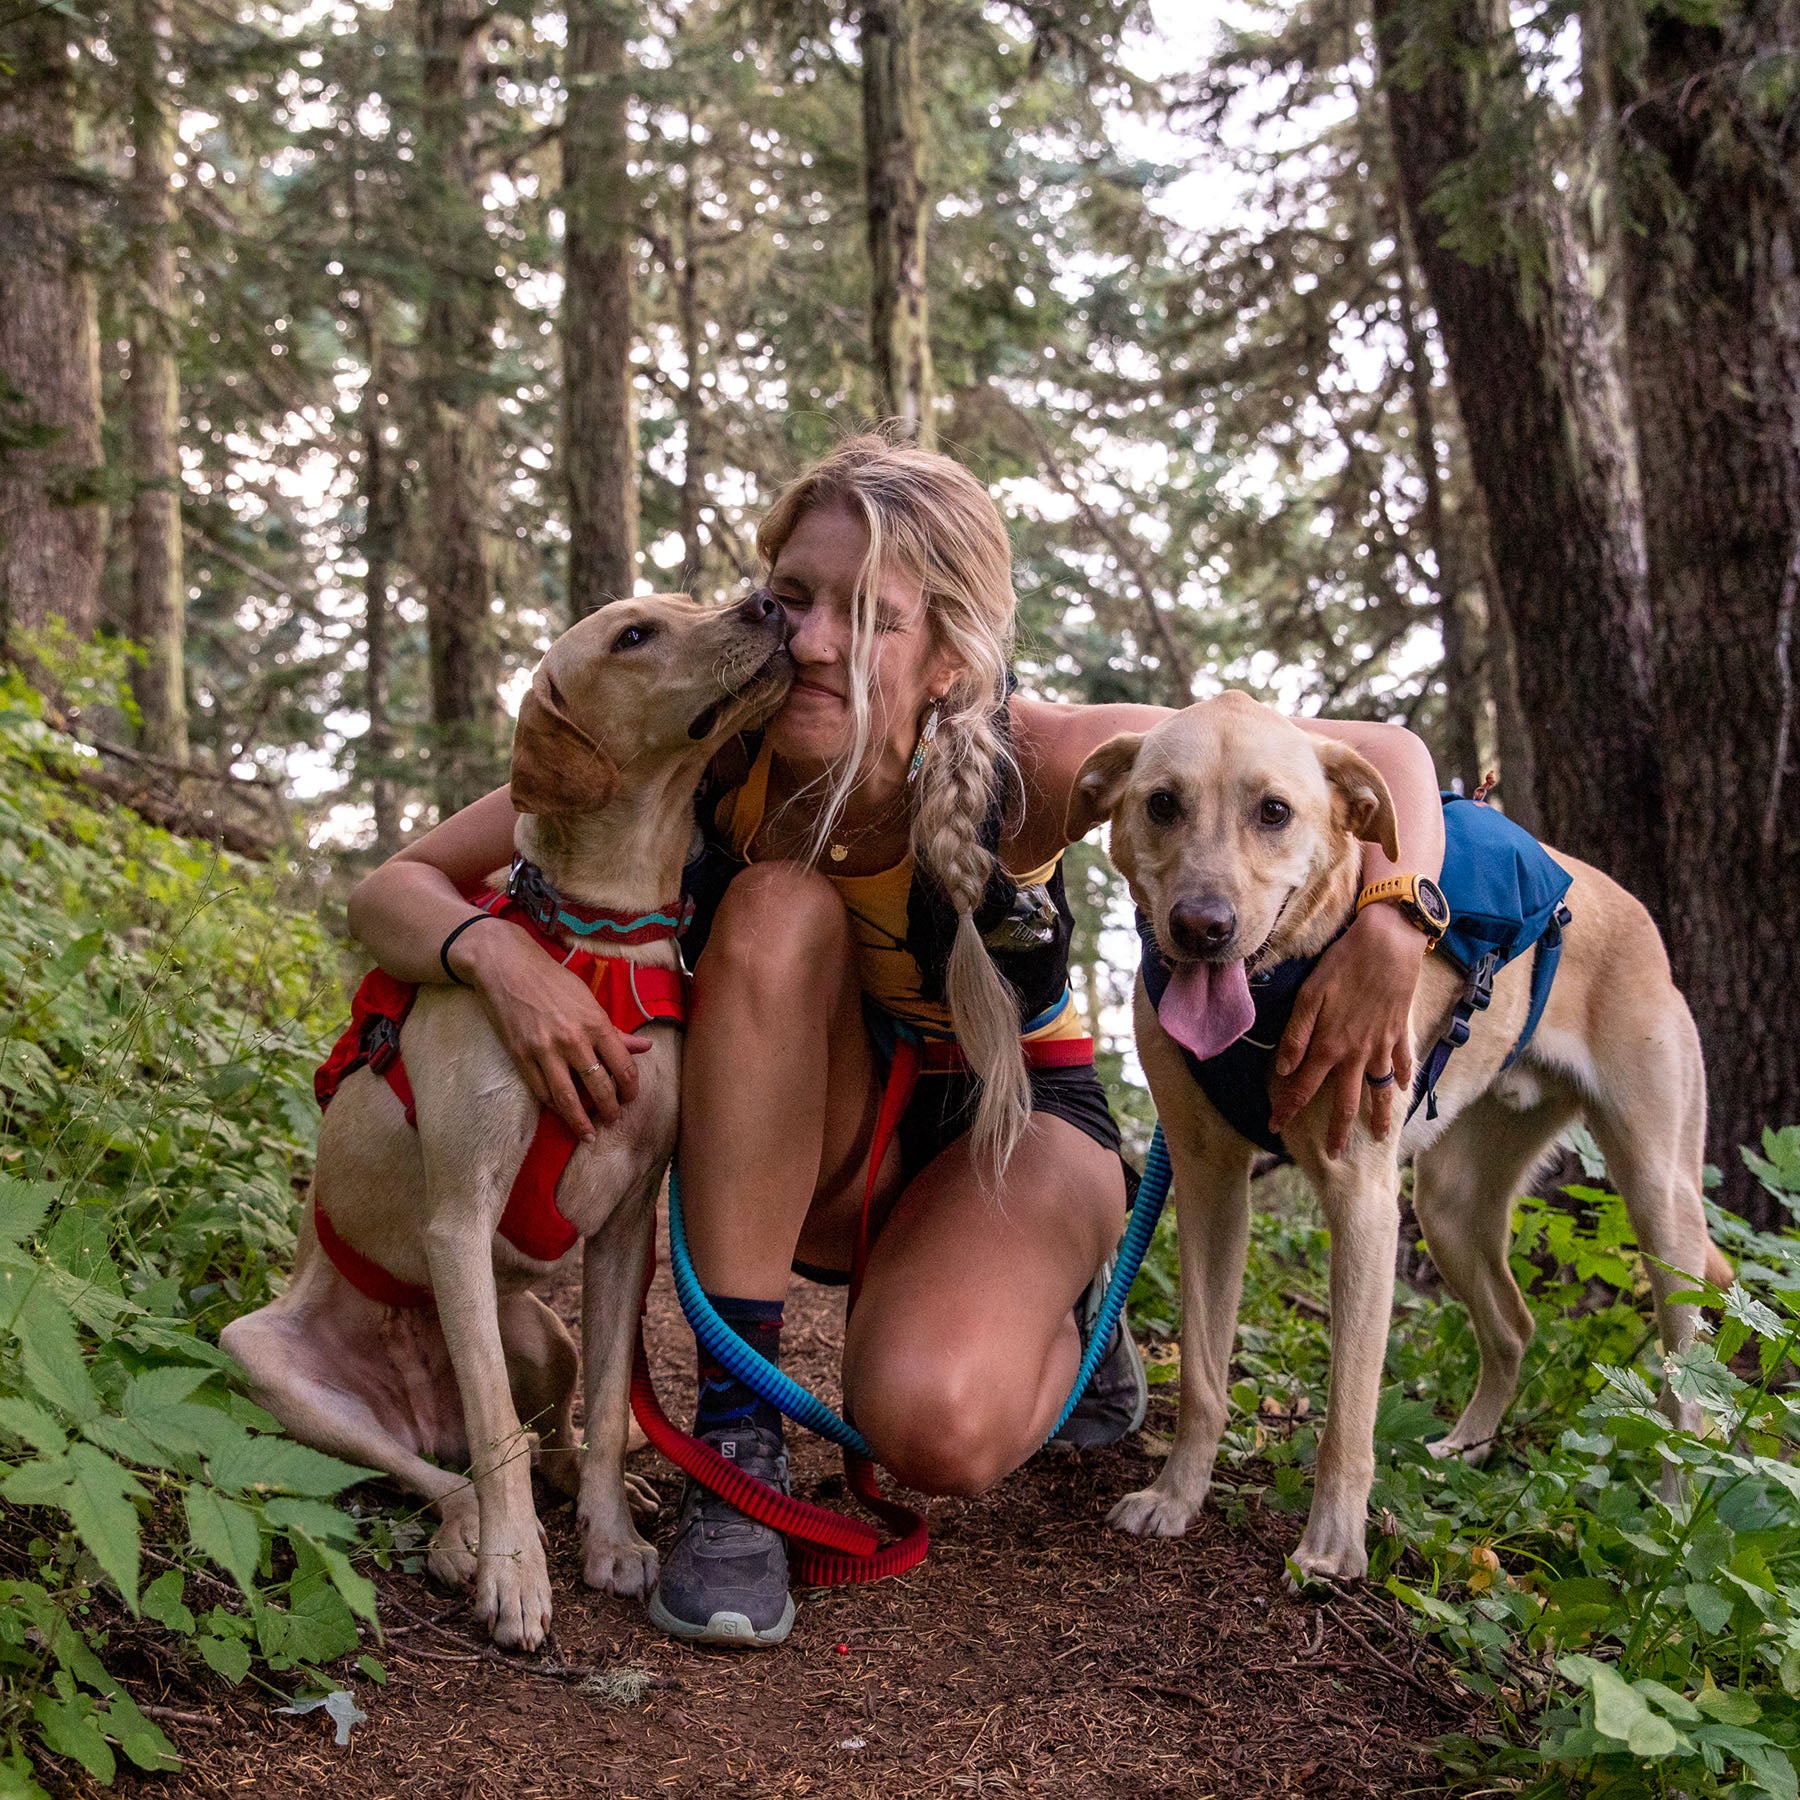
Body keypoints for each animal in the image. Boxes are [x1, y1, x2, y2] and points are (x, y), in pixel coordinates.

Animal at [223, 591, 791, 1647]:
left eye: (688, 605)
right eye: (635, 636)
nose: (769, 602)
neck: (602, 933)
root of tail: (416, 1411)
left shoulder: (626, 1230)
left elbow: (605, 1409)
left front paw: (609, 1540)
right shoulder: (459, 1217)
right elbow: (497, 1434)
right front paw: (518, 1574)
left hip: (540, 1330)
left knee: (548, 1428)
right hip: (268, 1363)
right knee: (442, 1472)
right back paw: (464, 1539)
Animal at [1068, 692, 1723, 1584]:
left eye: (1274, 811)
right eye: (1162, 804)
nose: (1203, 927)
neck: (1282, 979)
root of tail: (1624, 904)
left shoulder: (1362, 1203)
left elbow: (1349, 1411)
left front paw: (1332, 1546)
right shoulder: (1207, 1184)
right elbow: (1203, 1377)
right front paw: (1177, 1496)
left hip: (1660, 1201)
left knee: (1682, 1383)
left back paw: (1675, 1512)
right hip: (1450, 1206)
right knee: (1514, 1327)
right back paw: (1463, 1451)